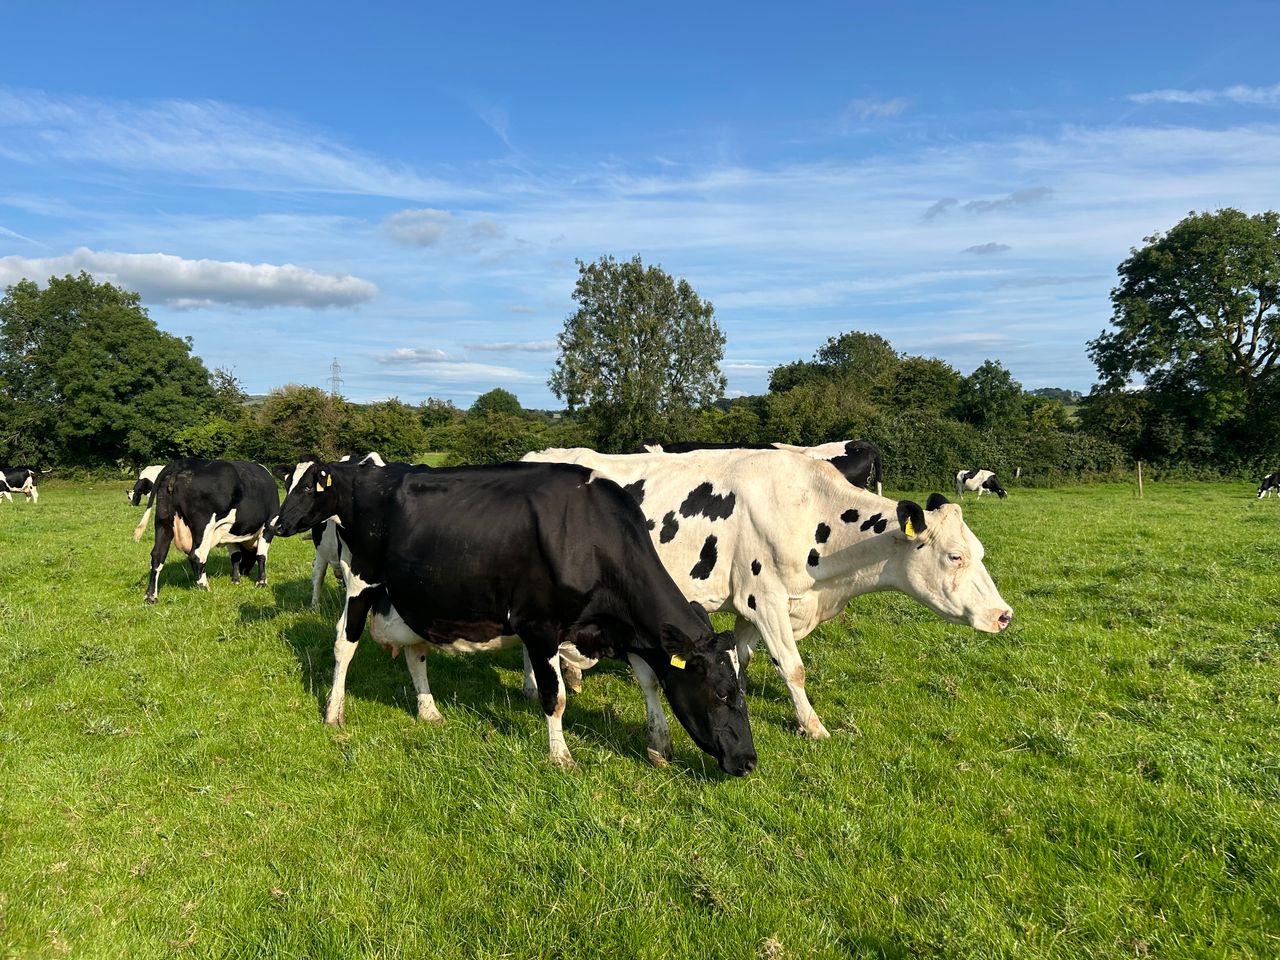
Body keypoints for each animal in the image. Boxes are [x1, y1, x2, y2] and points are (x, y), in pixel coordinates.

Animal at [132, 459, 280, 603]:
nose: (245, 572)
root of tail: (181, 463)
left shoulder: (230, 533)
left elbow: (235, 556)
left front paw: (235, 580)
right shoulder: (269, 525)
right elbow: (261, 555)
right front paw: (261, 582)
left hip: (163, 522)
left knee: (157, 556)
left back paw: (151, 596)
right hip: (203, 526)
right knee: (197, 555)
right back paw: (204, 587)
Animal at [268, 458, 757, 775]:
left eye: (741, 690)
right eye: (722, 693)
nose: (749, 761)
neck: (589, 537)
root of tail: (366, 470)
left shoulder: (623, 628)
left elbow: (651, 680)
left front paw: (659, 745)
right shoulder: (539, 627)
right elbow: (555, 697)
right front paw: (561, 757)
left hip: (415, 596)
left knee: (415, 652)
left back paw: (429, 711)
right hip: (361, 581)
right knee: (344, 644)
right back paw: (334, 712)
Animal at [524, 447, 1012, 740]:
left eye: (980, 552)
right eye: (954, 557)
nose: (1003, 615)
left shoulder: (750, 606)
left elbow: (744, 655)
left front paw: (741, 692)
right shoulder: (766, 598)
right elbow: (792, 668)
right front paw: (812, 726)